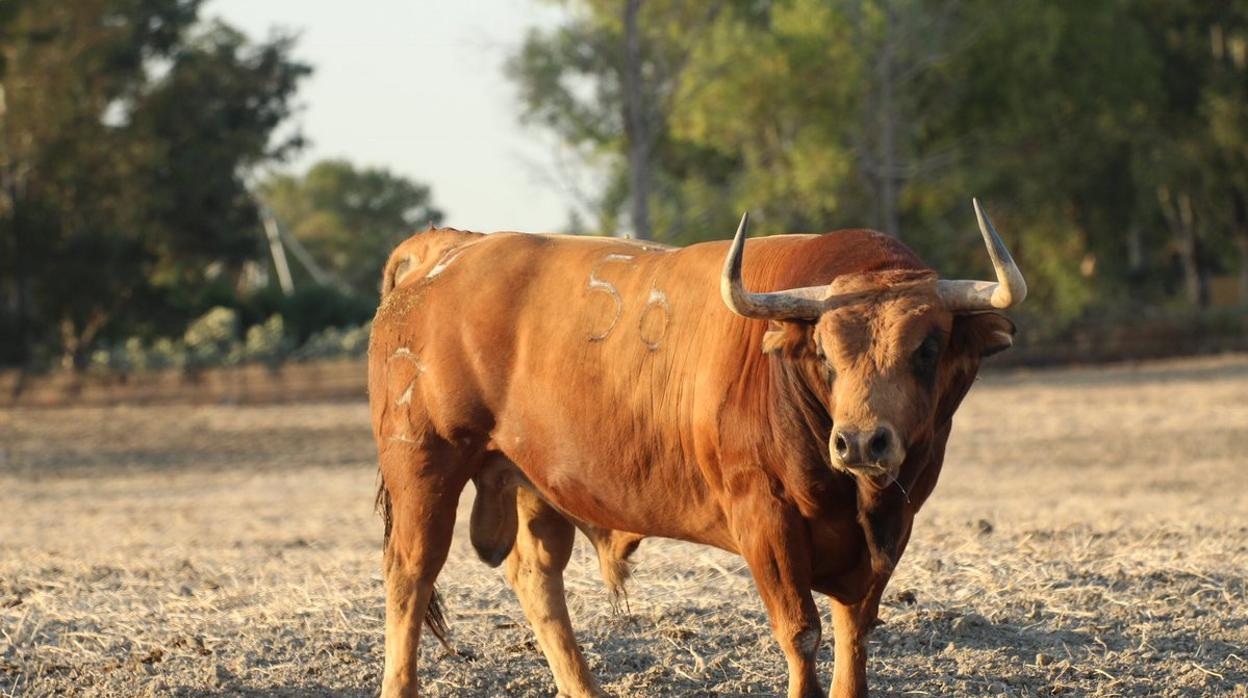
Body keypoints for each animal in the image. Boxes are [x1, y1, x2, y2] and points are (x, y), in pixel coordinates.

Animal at [366, 199, 1023, 694]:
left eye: (928, 347)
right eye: (826, 351)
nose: (860, 440)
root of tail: (450, 247)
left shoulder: (891, 529)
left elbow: (854, 632)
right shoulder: (765, 520)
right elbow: (802, 632)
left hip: (532, 478)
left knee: (536, 577)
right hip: (423, 464)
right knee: (410, 574)